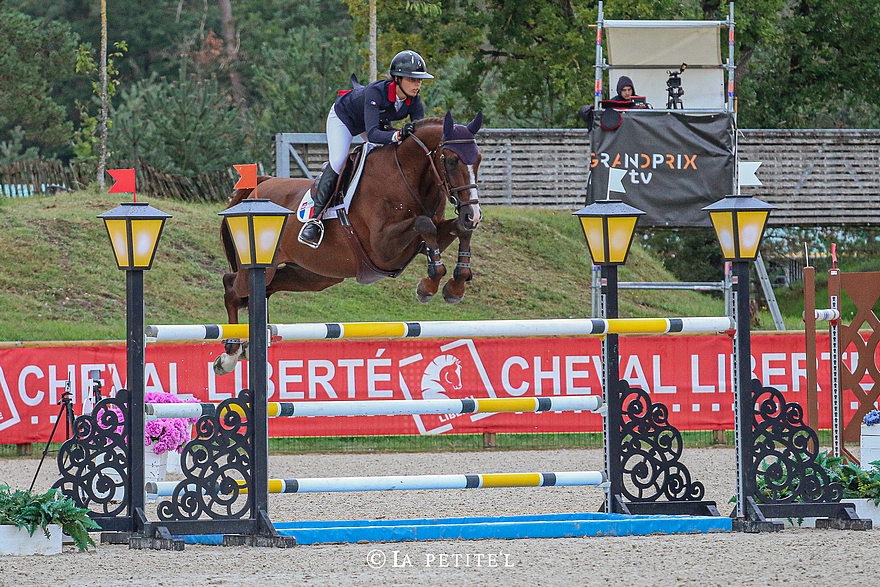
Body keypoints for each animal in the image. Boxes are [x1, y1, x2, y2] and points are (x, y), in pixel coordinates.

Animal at [216, 110, 484, 374]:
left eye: (479, 159)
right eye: (451, 160)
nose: (474, 214)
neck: (408, 177)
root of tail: (260, 186)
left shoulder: (427, 238)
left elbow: (457, 230)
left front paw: (455, 287)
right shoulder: (382, 248)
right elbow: (423, 224)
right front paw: (428, 285)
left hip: (312, 275)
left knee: (264, 290)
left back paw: (247, 347)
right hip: (263, 267)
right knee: (231, 285)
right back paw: (229, 355)